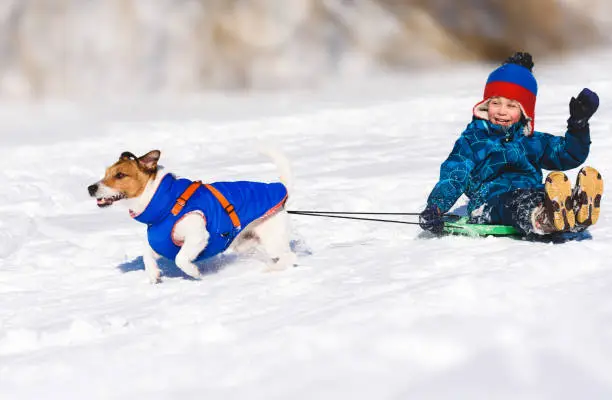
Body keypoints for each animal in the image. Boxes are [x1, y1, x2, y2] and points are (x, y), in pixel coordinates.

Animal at [88, 148, 296, 282]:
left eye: (120, 175)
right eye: (105, 173)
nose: (90, 188)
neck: (164, 202)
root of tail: (282, 190)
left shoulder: (197, 236)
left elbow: (180, 259)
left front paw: (194, 272)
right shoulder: (161, 242)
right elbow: (147, 254)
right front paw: (154, 275)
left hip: (272, 237)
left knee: (290, 257)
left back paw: (271, 269)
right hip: (245, 244)